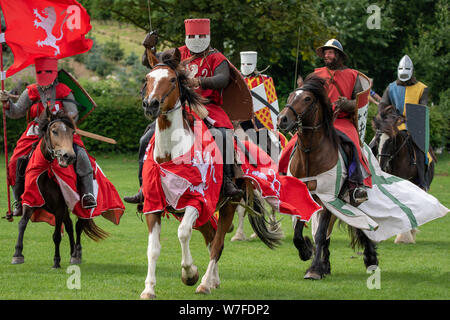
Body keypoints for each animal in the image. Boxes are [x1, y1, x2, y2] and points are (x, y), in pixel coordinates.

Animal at [11, 109, 107, 268]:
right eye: (54, 131)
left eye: (72, 132)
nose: (68, 156)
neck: (47, 170)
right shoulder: (31, 199)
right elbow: (22, 223)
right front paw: (17, 254)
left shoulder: (59, 207)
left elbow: (56, 235)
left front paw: (56, 261)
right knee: (69, 225)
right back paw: (72, 251)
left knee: (78, 226)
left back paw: (76, 254)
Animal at [141, 48, 282, 300]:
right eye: (148, 79)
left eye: (172, 80)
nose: (151, 105)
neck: (171, 153)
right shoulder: (153, 205)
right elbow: (153, 249)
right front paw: (148, 288)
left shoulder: (197, 201)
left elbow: (183, 233)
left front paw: (189, 273)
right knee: (211, 237)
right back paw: (213, 280)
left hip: (227, 204)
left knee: (217, 243)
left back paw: (205, 283)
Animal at [276, 75, 378, 280]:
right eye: (291, 95)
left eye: (307, 99)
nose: (282, 119)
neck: (310, 153)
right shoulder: (305, 197)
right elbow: (299, 234)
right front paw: (307, 251)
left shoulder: (327, 199)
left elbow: (320, 235)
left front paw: (314, 270)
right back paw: (326, 264)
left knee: (359, 227)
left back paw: (370, 258)